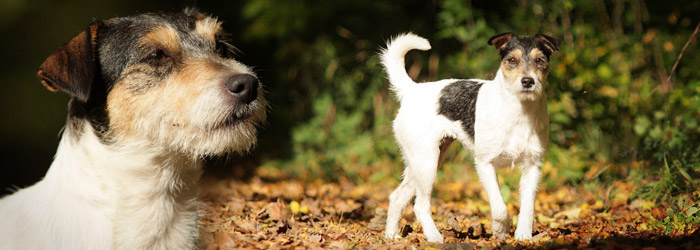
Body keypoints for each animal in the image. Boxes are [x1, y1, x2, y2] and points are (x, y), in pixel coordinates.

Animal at [380, 32, 560, 243]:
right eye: (512, 60)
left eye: (540, 60)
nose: (528, 81)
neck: (518, 111)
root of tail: (412, 90)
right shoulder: (485, 164)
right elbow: (499, 207)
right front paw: (500, 231)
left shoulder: (533, 166)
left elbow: (528, 207)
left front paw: (523, 236)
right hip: (427, 164)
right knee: (420, 205)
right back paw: (435, 238)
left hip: (423, 162)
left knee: (397, 197)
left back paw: (391, 236)